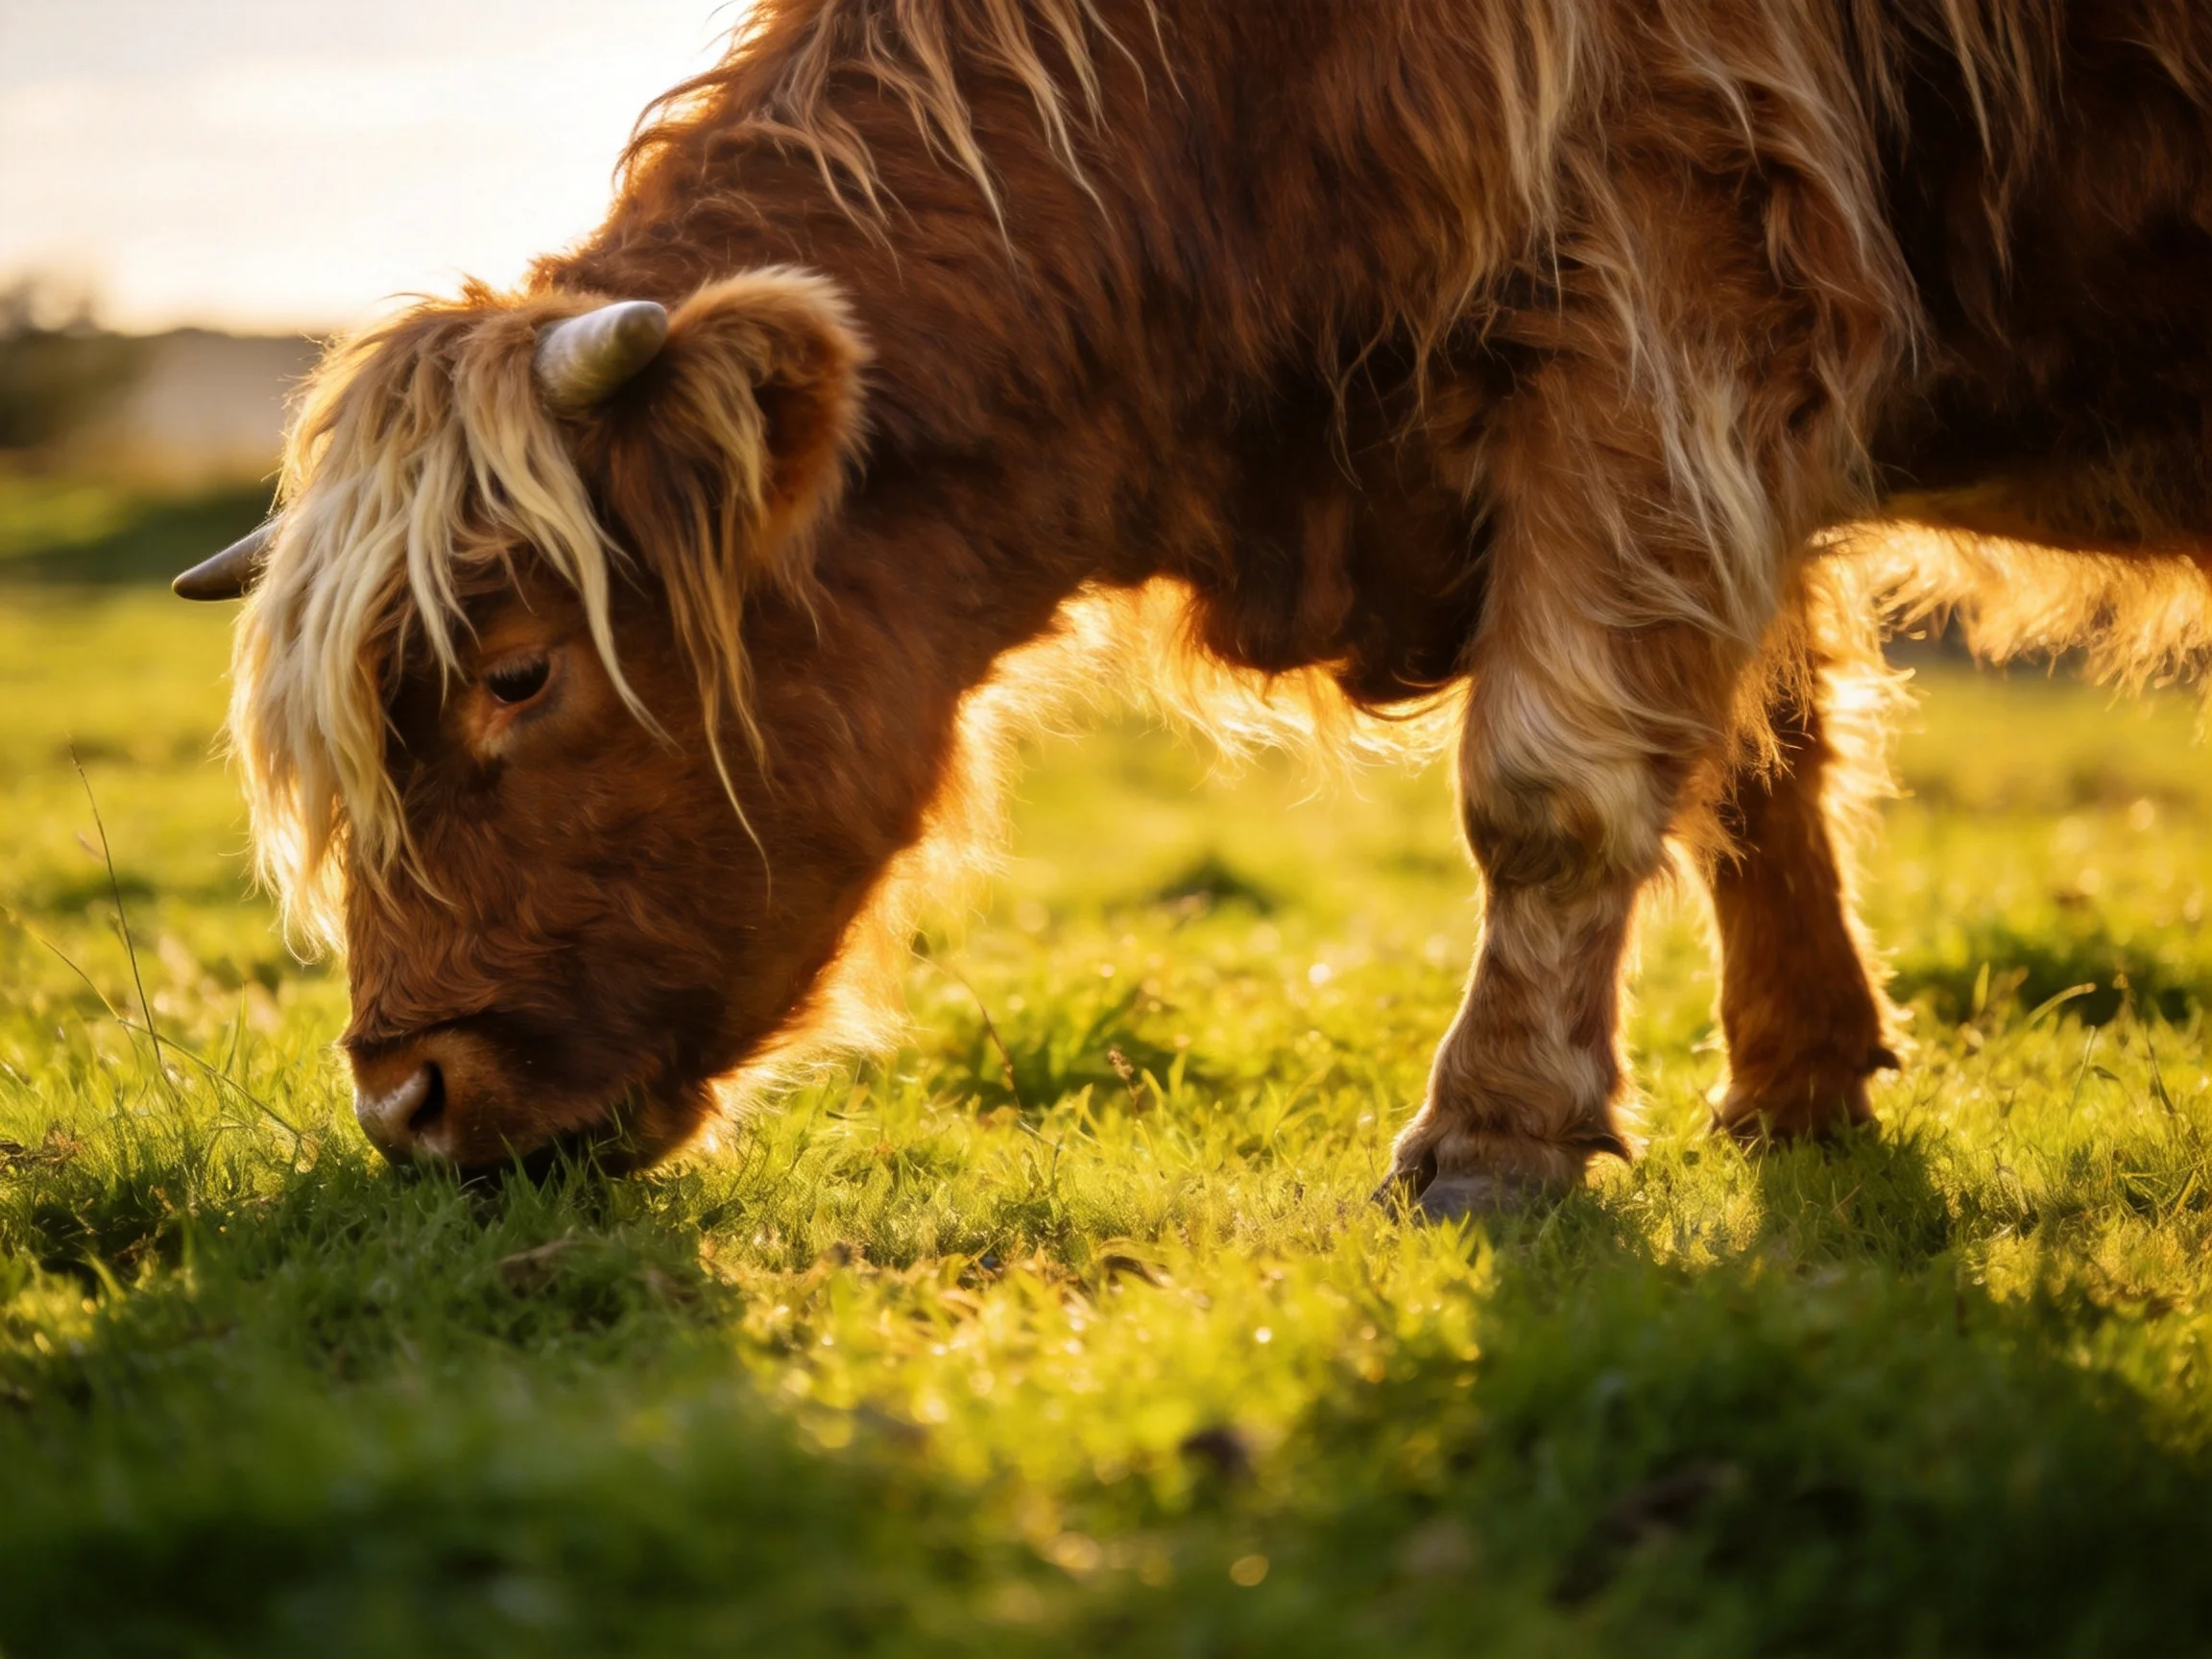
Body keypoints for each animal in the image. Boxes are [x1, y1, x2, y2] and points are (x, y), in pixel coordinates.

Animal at [175, 0, 2212, 1214]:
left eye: (518, 673)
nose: (405, 1098)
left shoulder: (1682, 284)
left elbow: (1551, 788)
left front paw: (1487, 1138)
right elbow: (1752, 760)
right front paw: (1794, 1084)